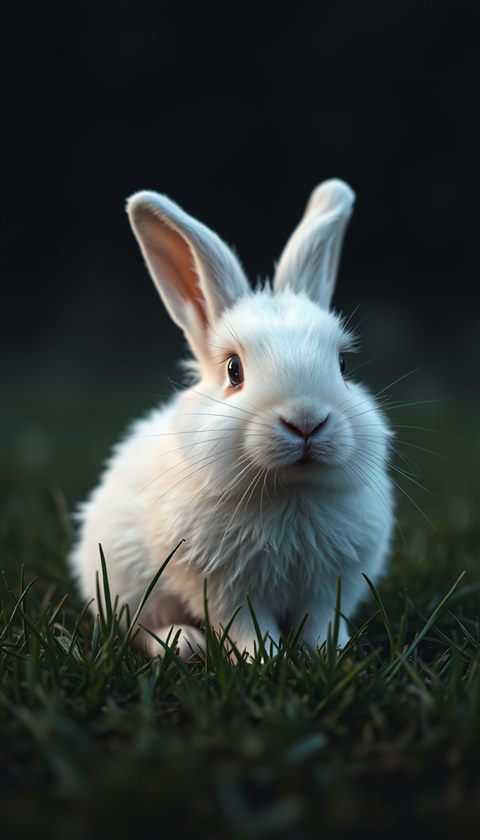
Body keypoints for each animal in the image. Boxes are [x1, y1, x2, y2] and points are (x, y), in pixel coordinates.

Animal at [70, 178, 394, 659]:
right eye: (234, 370)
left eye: (343, 365)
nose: (306, 421)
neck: (288, 491)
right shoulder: (222, 586)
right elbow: (244, 625)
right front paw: (264, 658)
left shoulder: (330, 585)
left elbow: (321, 622)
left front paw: (326, 654)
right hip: (122, 582)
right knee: (136, 626)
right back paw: (182, 642)